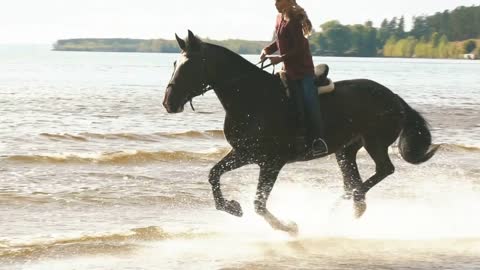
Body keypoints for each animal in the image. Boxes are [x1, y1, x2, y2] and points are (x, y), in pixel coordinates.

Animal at [162, 30, 438, 234]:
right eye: (175, 63)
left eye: (189, 67)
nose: (168, 103)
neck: (251, 97)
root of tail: (395, 98)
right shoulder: (245, 153)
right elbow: (213, 174)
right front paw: (232, 207)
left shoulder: (271, 161)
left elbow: (259, 203)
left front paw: (287, 227)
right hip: (346, 149)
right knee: (353, 179)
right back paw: (346, 207)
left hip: (375, 142)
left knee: (384, 169)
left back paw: (347, 203)